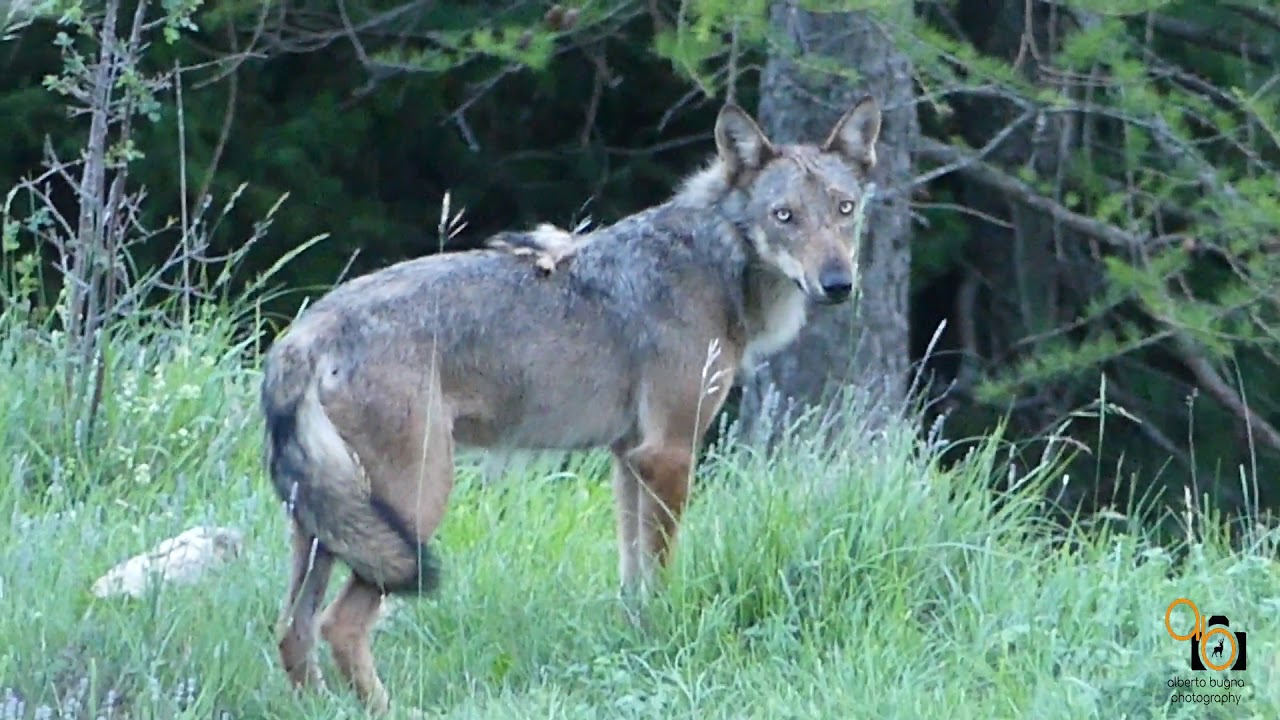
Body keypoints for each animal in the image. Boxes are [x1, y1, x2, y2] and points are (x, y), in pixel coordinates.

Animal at [261, 95, 881, 714]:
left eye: (844, 209)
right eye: (785, 216)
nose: (838, 283)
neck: (716, 261)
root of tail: (304, 335)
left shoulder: (630, 458)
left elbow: (633, 578)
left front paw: (638, 645)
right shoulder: (670, 454)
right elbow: (659, 574)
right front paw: (667, 642)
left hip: (329, 526)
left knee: (292, 628)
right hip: (415, 506)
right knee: (339, 625)